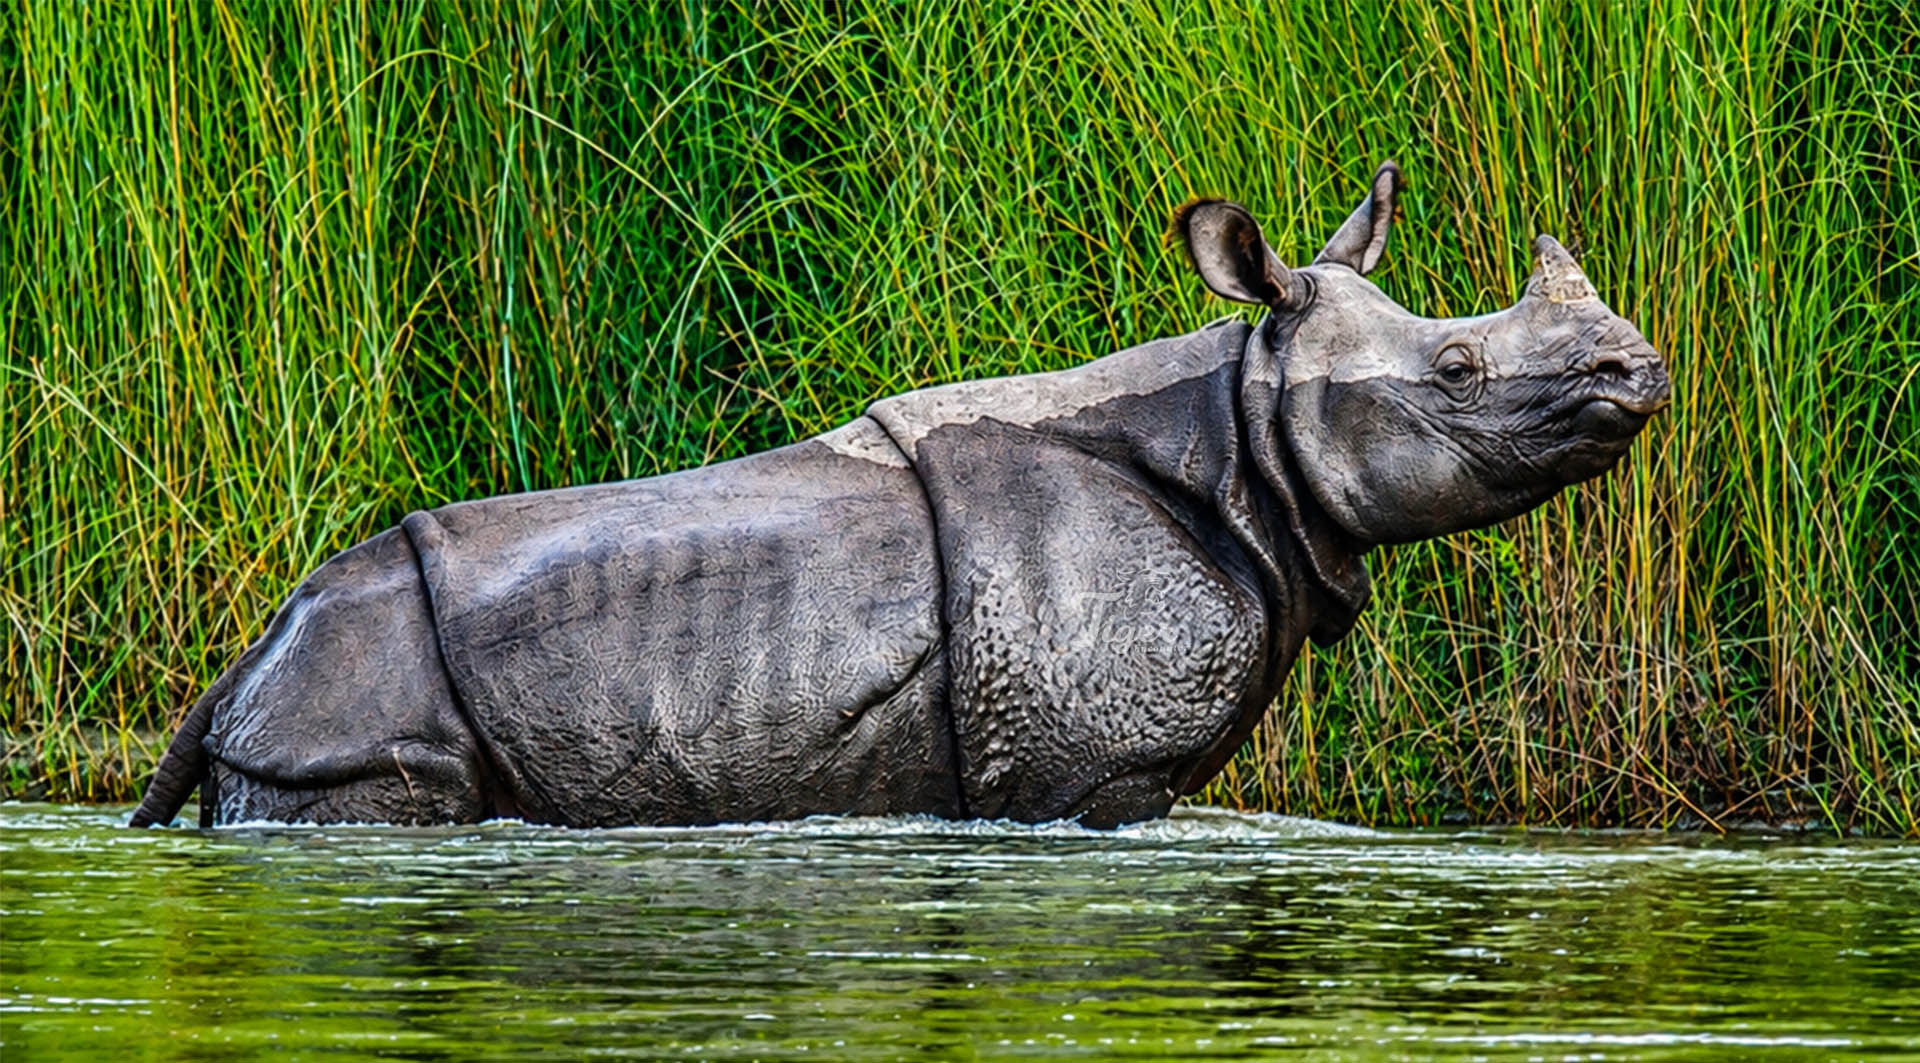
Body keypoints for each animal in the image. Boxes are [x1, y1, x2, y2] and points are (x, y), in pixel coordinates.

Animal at [131, 162, 1669, 830]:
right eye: (1458, 369)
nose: (1638, 371)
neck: (1249, 436)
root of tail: (249, 655)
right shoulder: (1078, 773)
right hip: (348, 708)